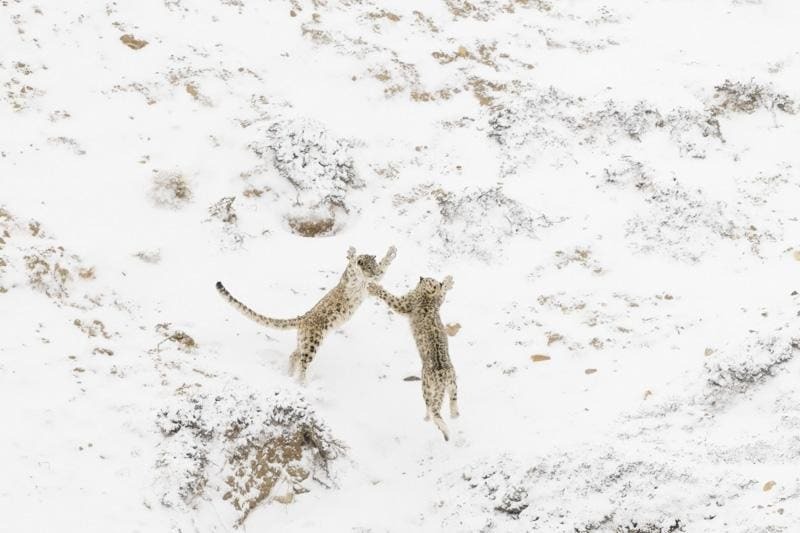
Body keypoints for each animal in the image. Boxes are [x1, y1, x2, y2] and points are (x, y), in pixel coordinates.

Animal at [216, 245, 396, 382]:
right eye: (369, 267)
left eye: (374, 266)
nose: (374, 272)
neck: (363, 282)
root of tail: (303, 318)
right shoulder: (352, 279)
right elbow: (352, 266)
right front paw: (353, 254)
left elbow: (383, 269)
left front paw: (391, 253)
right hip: (312, 343)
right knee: (302, 362)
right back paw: (302, 383)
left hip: (305, 341)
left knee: (294, 355)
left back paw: (289, 375)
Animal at [368, 274, 456, 440]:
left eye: (428, 280)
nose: (421, 276)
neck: (426, 297)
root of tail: (442, 376)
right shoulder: (438, 300)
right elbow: (442, 295)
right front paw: (448, 280)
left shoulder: (403, 303)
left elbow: (389, 297)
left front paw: (373, 287)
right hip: (453, 383)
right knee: (452, 401)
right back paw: (455, 414)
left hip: (426, 386)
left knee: (432, 407)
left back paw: (432, 421)